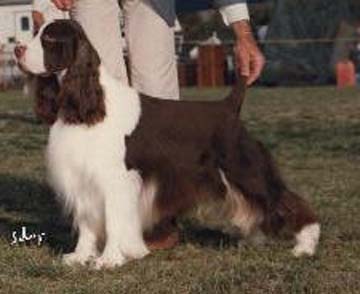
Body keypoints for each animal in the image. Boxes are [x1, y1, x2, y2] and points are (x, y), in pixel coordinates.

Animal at [14, 20, 320, 268]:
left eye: (49, 38)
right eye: (35, 32)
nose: (17, 50)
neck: (88, 103)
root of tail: (228, 107)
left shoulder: (116, 179)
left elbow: (114, 220)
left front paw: (110, 259)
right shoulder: (82, 176)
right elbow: (88, 221)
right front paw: (80, 256)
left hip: (244, 168)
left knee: (285, 201)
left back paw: (305, 246)